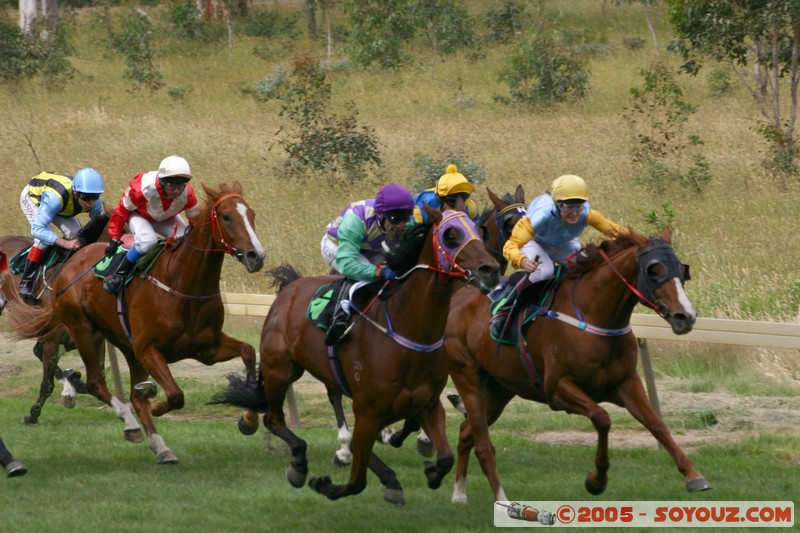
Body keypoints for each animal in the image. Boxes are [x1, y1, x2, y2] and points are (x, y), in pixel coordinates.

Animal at [7, 182, 266, 462]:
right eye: (227, 217)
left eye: (252, 214)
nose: (256, 256)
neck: (182, 283)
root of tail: (72, 261)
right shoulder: (148, 349)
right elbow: (175, 395)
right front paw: (156, 404)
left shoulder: (206, 348)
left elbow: (248, 352)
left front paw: (249, 418)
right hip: (83, 329)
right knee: (96, 382)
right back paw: (130, 423)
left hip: (122, 345)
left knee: (125, 391)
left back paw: (159, 445)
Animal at [212, 209, 500, 502]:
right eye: (451, 236)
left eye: (479, 231)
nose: (490, 270)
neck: (407, 331)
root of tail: (290, 287)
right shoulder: (368, 411)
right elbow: (357, 481)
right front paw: (325, 484)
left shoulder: (427, 405)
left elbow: (444, 458)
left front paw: (428, 471)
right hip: (280, 369)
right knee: (274, 418)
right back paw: (301, 463)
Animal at [444, 227, 712, 500]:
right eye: (654, 270)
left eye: (681, 269)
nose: (686, 316)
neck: (596, 315)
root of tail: (457, 299)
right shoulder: (557, 388)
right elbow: (602, 418)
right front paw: (597, 480)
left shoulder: (626, 383)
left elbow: (657, 424)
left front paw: (693, 475)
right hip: (468, 377)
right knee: (479, 438)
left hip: (500, 389)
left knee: (467, 431)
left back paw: (459, 493)